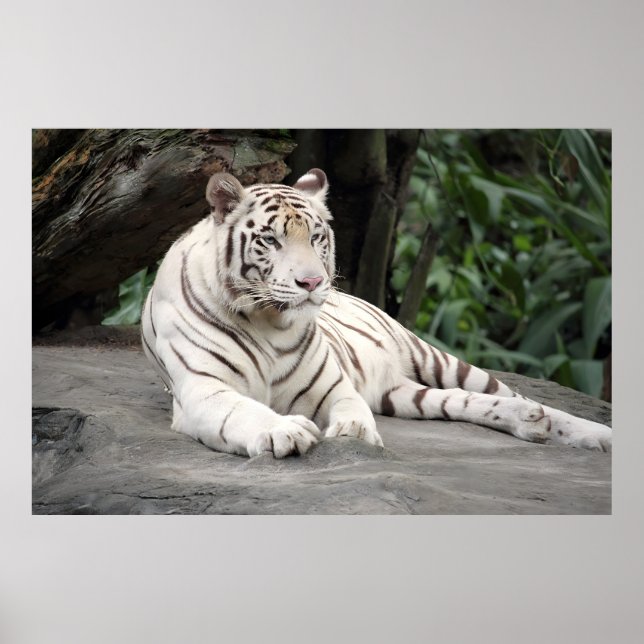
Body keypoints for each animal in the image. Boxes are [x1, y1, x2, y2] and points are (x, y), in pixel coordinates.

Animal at [141, 168, 612, 458]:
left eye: (316, 237)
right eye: (271, 240)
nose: (312, 283)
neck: (269, 321)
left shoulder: (332, 386)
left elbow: (350, 409)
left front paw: (355, 434)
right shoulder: (204, 390)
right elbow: (244, 411)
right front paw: (284, 430)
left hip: (436, 359)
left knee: (517, 395)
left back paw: (589, 432)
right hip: (402, 394)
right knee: (463, 402)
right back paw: (532, 424)